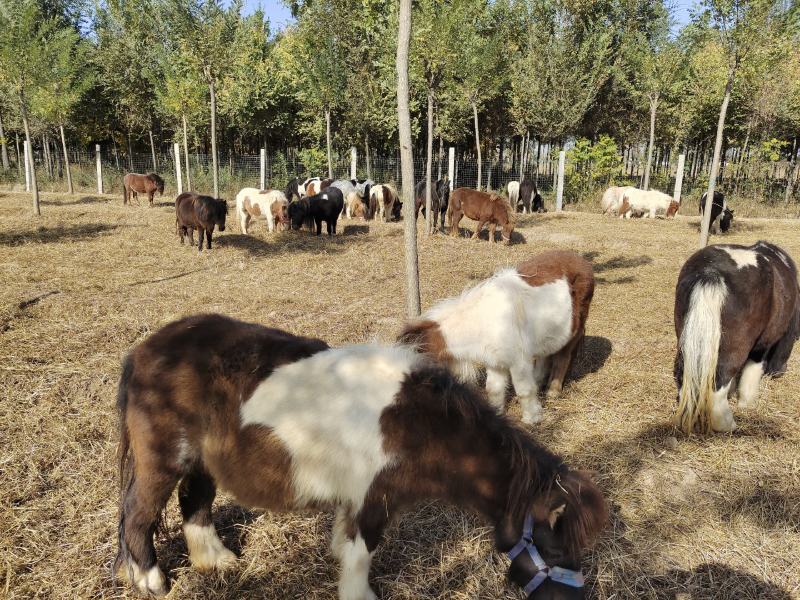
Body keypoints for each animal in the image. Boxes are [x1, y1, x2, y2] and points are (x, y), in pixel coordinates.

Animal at [114, 313, 608, 599]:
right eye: (558, 547)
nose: (577, 599)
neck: (420, 424)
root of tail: (144, 350)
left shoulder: (357, 500)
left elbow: (345, 547)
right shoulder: (373, 500)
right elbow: (360, 556)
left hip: (202, 463)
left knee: (194, 503)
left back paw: (217, 562)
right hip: (163, 461)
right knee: (138, 513)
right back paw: (151, 581)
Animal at [399, 250, 595, 424]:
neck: (485, 321)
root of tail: (583, 262)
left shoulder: (518, 362)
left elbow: (524, 390)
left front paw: (532, 419)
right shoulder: (494, 362)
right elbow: (493, 389)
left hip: (573, 330)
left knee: (563, 357)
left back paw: (552, 392)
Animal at [673, 241, 800, 433]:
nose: (779, 372)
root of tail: (711, 271)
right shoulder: (763, 345)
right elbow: (752, 371)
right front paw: (747, 404)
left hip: (687, 341)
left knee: (684, 376)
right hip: (734, 348)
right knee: (718, 386)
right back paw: (727, 425)